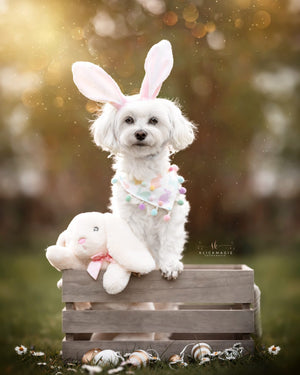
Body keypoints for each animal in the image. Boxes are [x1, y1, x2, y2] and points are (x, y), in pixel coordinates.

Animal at [72, 39, 196, 280]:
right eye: (128, 120)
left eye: (154, 120)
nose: (140, 133)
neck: (146, 176)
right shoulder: (128, 220)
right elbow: (133, 245)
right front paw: (137, 267)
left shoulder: (173, 216)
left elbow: (170, 243)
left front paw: (170, 265)